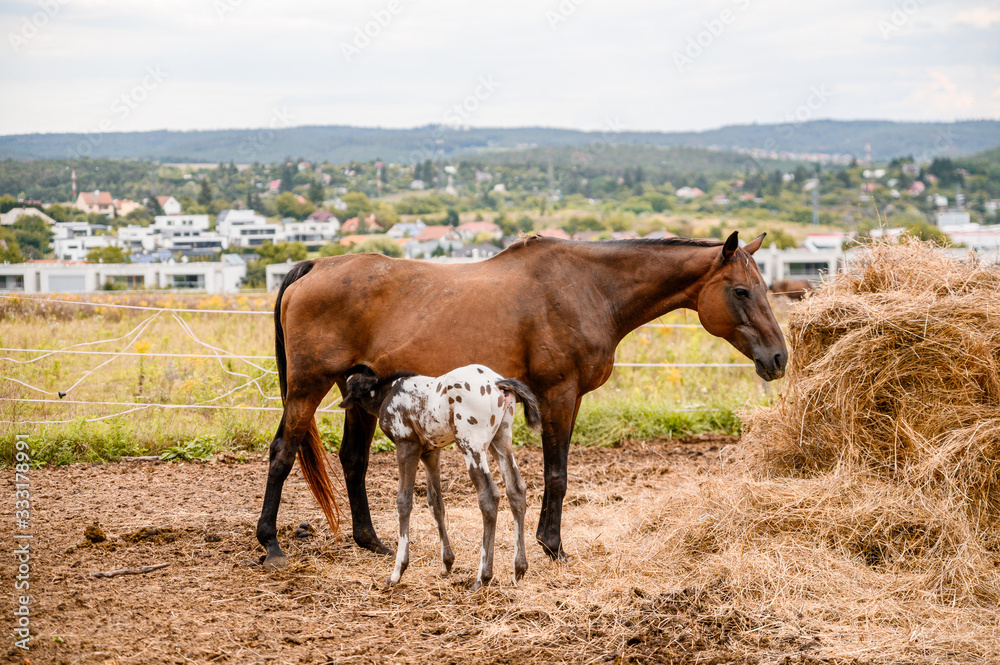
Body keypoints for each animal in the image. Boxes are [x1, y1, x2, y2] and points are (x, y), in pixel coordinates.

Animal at [338, 364, 540, 592]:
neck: (386, 393)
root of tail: (498, 382)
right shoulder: (430, 453)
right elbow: (436, 503)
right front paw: (447, 564)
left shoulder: (407, 445)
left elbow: (404, 502)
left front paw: (397, 572)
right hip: (501, 440)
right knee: (516, 489)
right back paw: (518, 570)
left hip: (471, 444)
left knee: (489, 496)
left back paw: (482, 577)